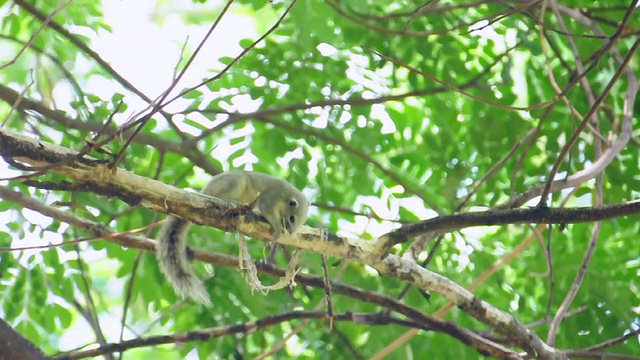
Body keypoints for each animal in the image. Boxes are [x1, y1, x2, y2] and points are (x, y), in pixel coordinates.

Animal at [156, 170, 308, 306]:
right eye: (292, 218)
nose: (290, 232)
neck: (286, 195)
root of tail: (205, 191)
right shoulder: (271, 198)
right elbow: (267, 209)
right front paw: (277, 229)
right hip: (237, 182)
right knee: (219, 197)